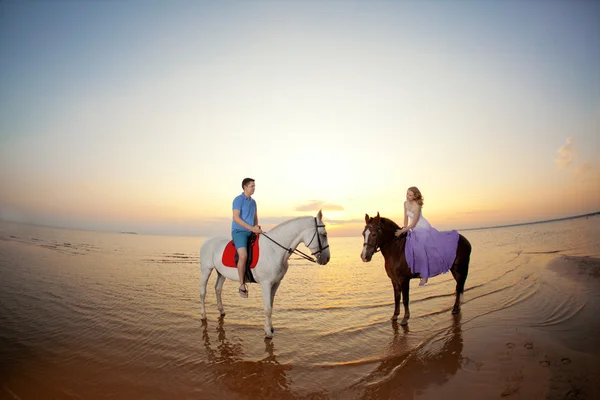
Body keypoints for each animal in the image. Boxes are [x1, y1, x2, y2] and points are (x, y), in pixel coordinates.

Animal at [199, 209, 330, 338]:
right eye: (324, 234)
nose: (327, 259)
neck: (274, 249)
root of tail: (207, 241)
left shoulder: (276, 283)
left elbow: (271, 306)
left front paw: (270, 328)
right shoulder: (266, 284)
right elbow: (267, 309)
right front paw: (268, 332)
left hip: (221, 273)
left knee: (218, 289)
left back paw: (221, 311)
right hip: (206, 270)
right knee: (203, 293)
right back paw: (203, 315)